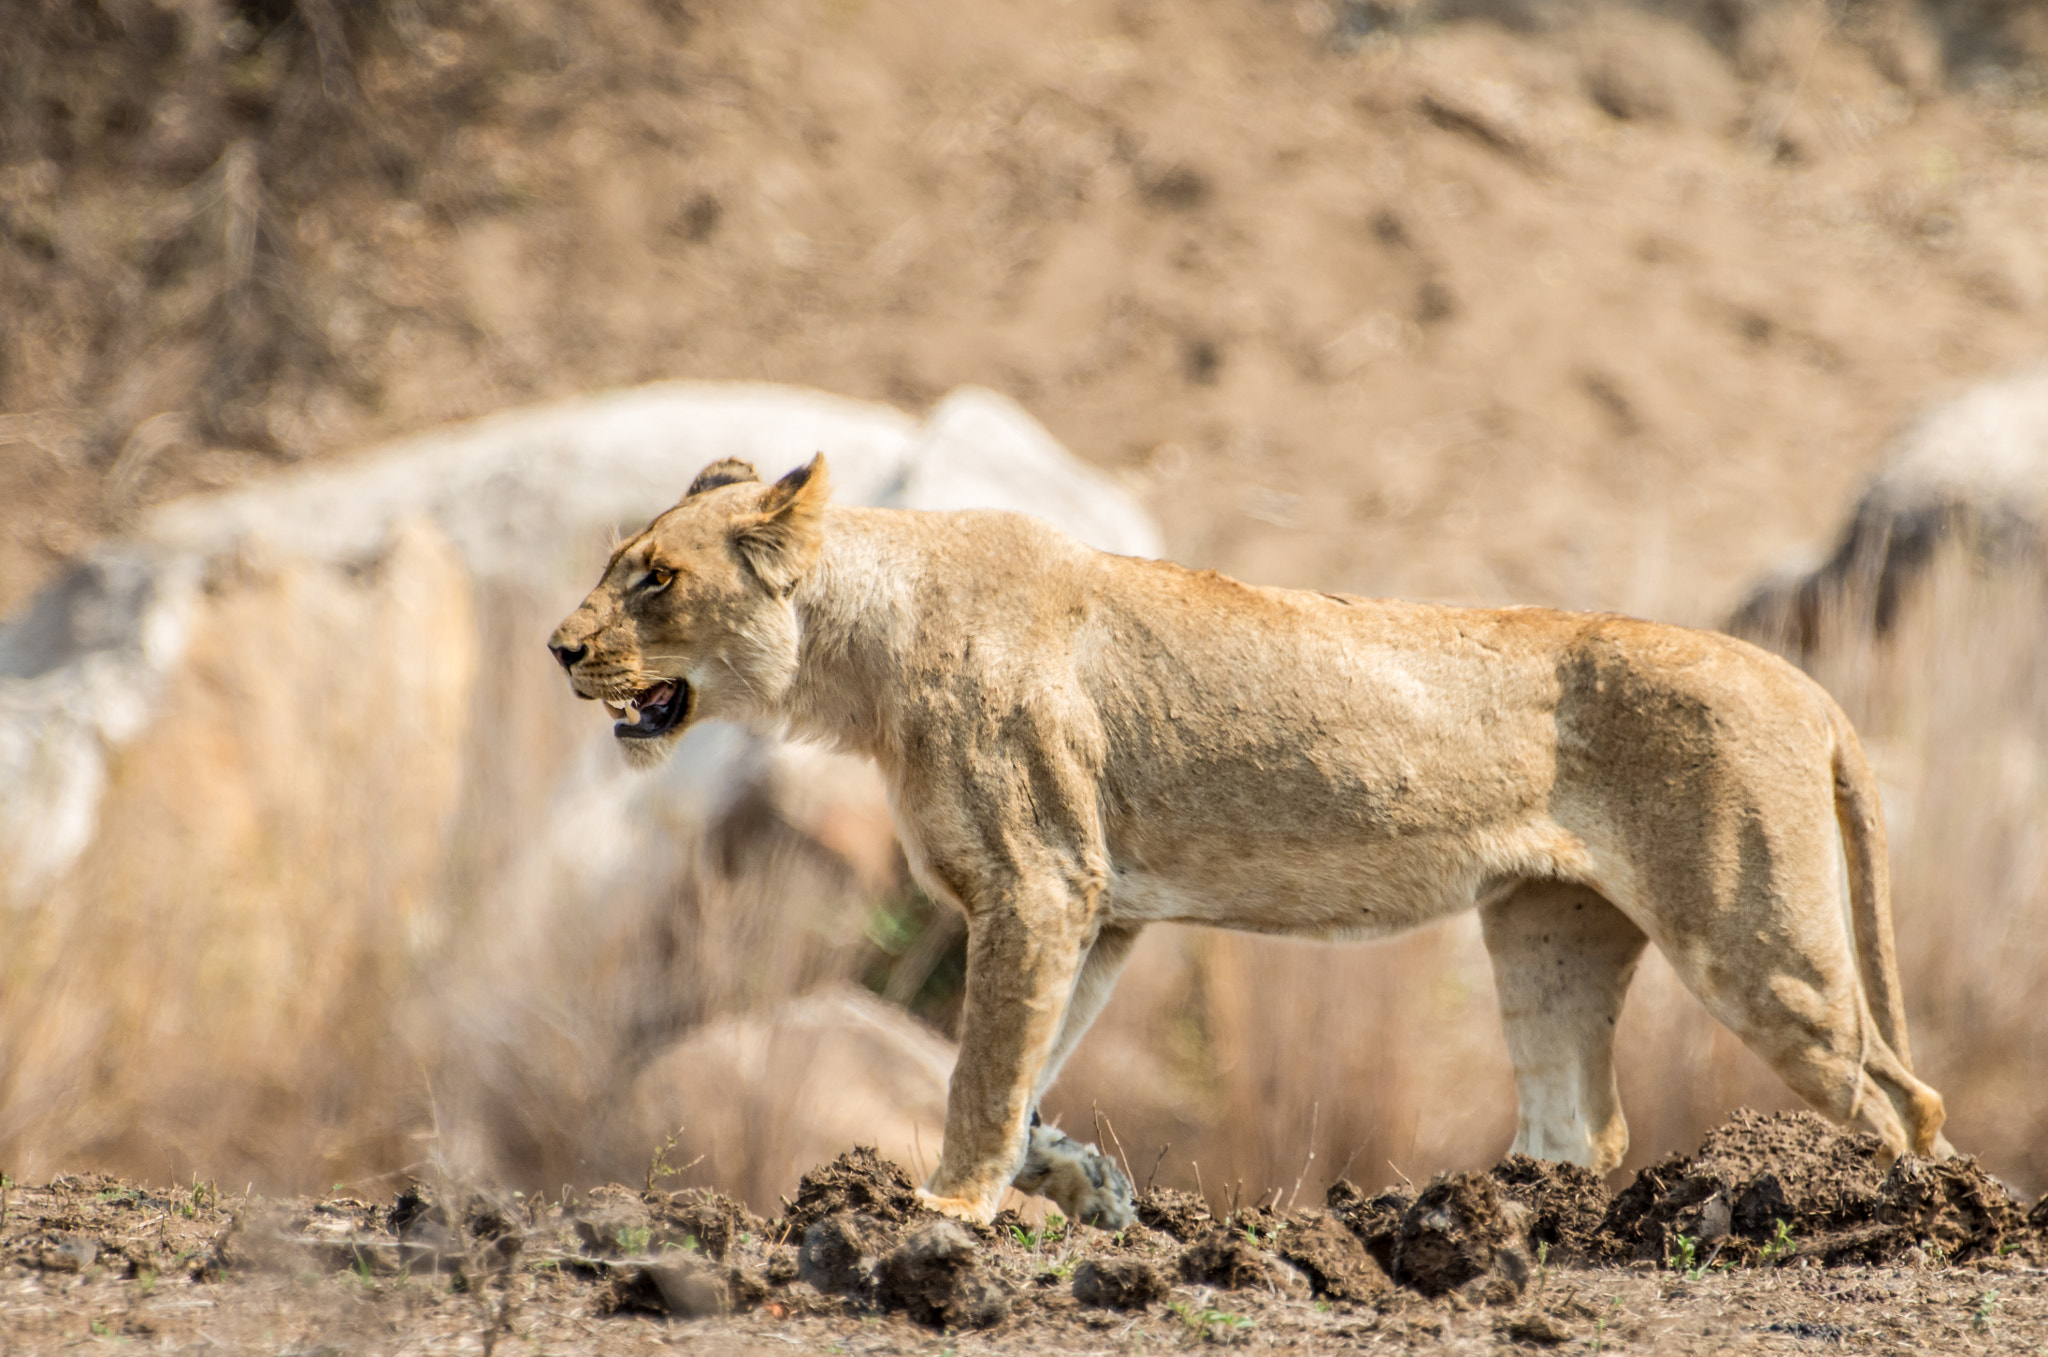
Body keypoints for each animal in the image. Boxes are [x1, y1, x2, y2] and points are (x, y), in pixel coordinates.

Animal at [549, 454, 1951, 1229]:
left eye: (655, 576)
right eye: (620, 564)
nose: (561, 648)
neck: (856, 659)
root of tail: (1801, 681)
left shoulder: (1040, 881)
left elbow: (979, 1069)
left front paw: (943, 1208)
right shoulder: (1098, 906)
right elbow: (1028, 1064)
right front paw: (1071, 1183)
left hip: (1750, 938)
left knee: (1898, 1095)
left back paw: (1905, 1214)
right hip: (1545, 930)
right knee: (1578, 1128)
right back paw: (1483, 1222)